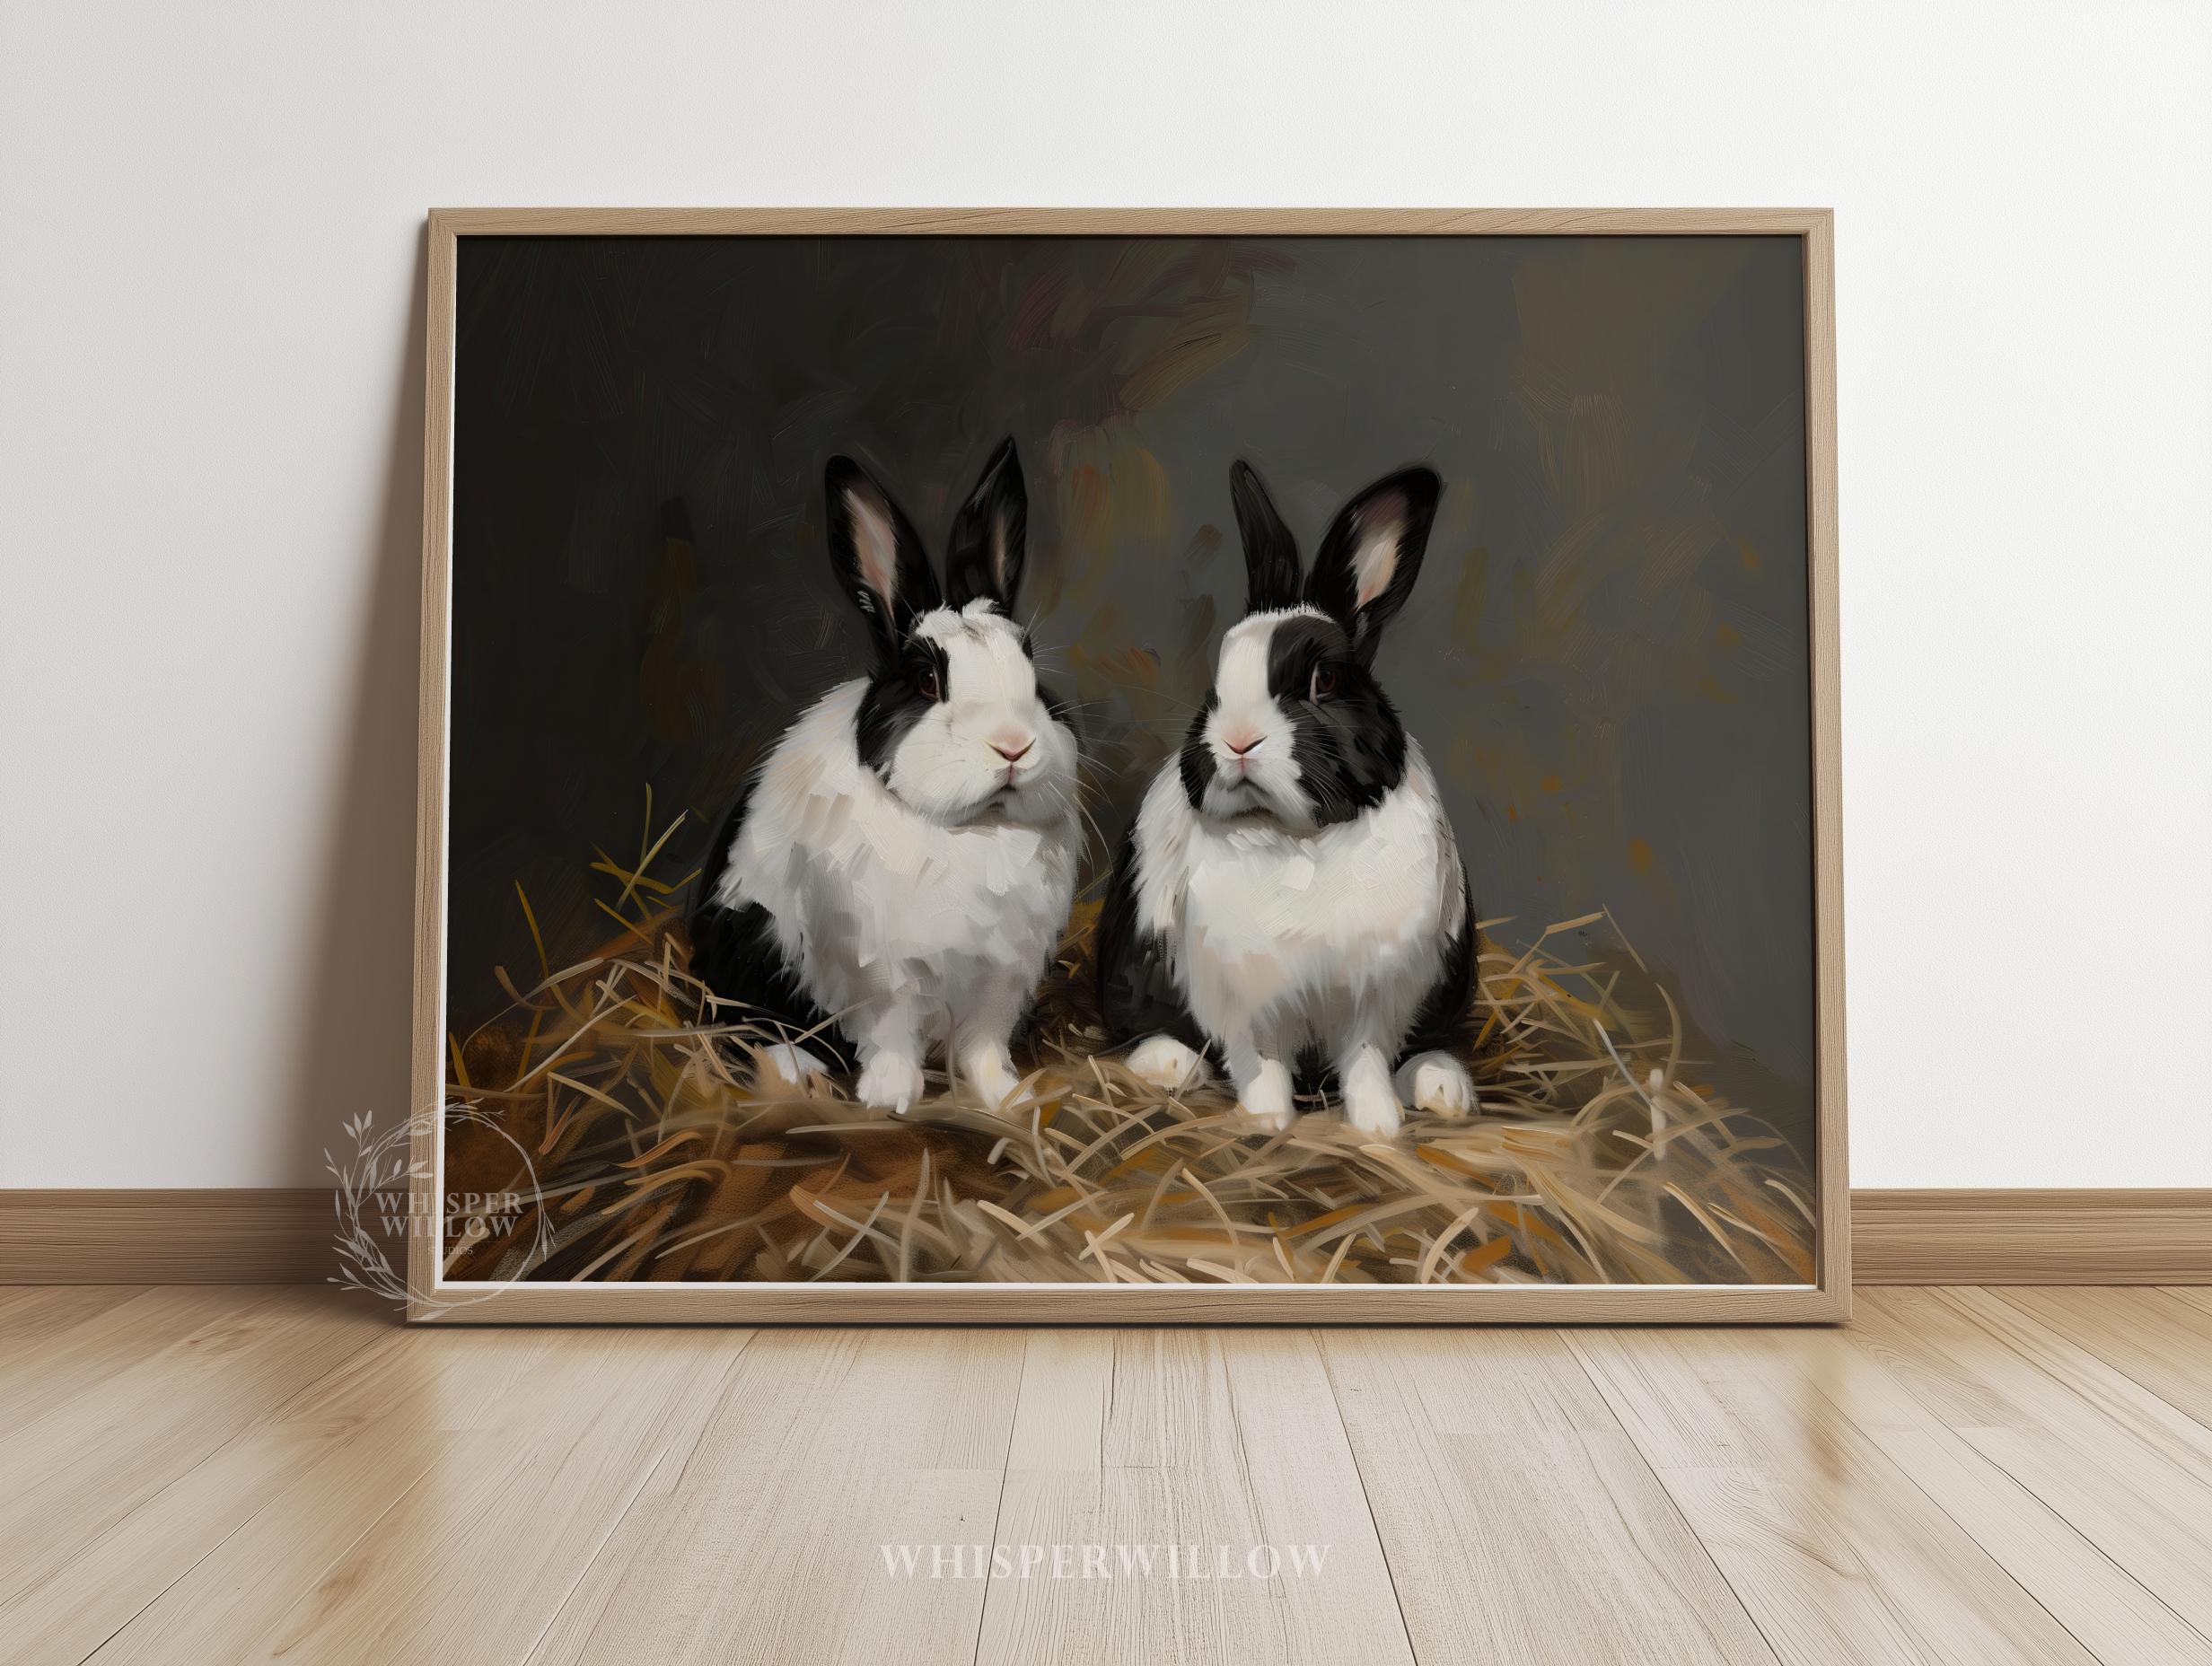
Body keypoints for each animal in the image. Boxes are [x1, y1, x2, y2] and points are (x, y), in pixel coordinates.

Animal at [689, 438, 1083, 1114]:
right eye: (926, 680)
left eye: (1032, 669)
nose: (1013, 747)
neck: (971, 832)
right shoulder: (877, 976)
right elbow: (891, 1036)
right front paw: (890, 1100)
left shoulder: (1001, 977)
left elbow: (982, 1045)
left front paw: (1006, 1097)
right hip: (749, 945)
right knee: (748, 1022)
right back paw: (796, 1074)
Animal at [1096, 460, 1478, 1138]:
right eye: (1214, 687)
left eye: (1323, 681)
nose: (1237, 740)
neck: (1299, 838)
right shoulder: (1247, 1002)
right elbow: (1263, 1063)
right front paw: (1267, 1121)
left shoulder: (1375, 998)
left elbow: (1366, 1063)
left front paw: (1378, 1129)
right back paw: (1169, 1065)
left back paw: (1440, 1087)